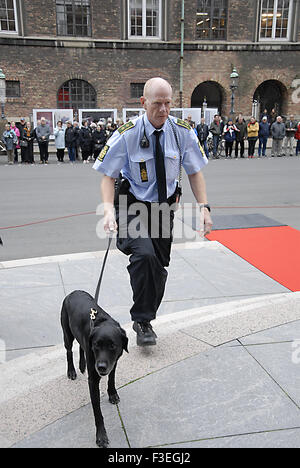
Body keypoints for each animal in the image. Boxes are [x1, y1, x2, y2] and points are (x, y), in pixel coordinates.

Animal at [61, 290, 127, 448]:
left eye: (112, 346)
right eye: (97, 345)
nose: (101, 367)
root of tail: (73, 292)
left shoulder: (114, 362)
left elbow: (111, 379)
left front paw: (112, 394)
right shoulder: (93, 380)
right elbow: (97, 411)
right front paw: (101, 436)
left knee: (81, 346)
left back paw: (82, 365)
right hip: (67, 333)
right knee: (69, 351)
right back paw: (72, 370)